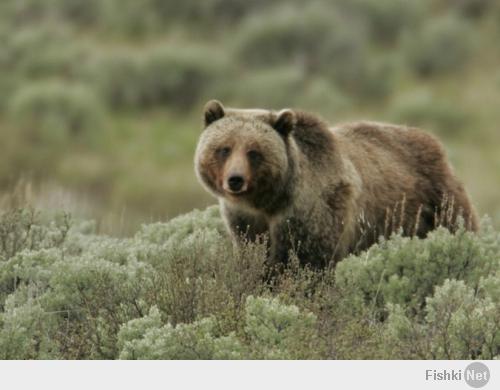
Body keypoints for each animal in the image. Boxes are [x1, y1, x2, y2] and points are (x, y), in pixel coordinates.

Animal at [193, 100, 478, 268]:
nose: (235, 180)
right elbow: (254, 254)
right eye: (224, 148)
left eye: (254, 152)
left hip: (435, 202)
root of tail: (434, 141)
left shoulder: (314, 210)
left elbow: (307, 260)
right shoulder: (245, 220)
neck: (270, 200)